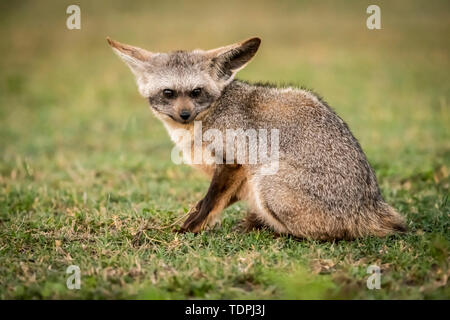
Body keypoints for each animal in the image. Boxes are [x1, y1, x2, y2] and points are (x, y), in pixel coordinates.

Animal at [107, 36, 406, 240]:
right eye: (168, 93)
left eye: (196, 92)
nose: (184, 114)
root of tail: (372, 206)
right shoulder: (239, 177)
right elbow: (208, 203)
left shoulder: (235, 162)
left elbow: (210, 202)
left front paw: (187, 230)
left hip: (266, 180)